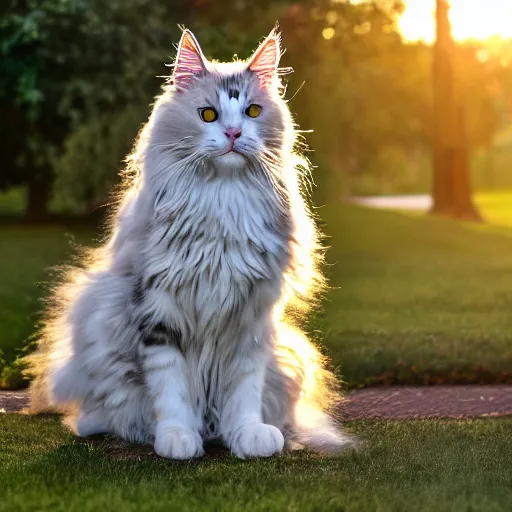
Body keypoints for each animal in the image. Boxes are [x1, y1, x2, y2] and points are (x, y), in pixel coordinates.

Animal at [26, 27, 354, 460]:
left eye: (252, 112)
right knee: (104, 411)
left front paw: (247, 435)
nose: (233, 134)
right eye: (208, 115)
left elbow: (244, 391)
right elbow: (171, 389)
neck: (223, 201)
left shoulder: (251, 319)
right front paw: (178, 438)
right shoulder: (157, 309)